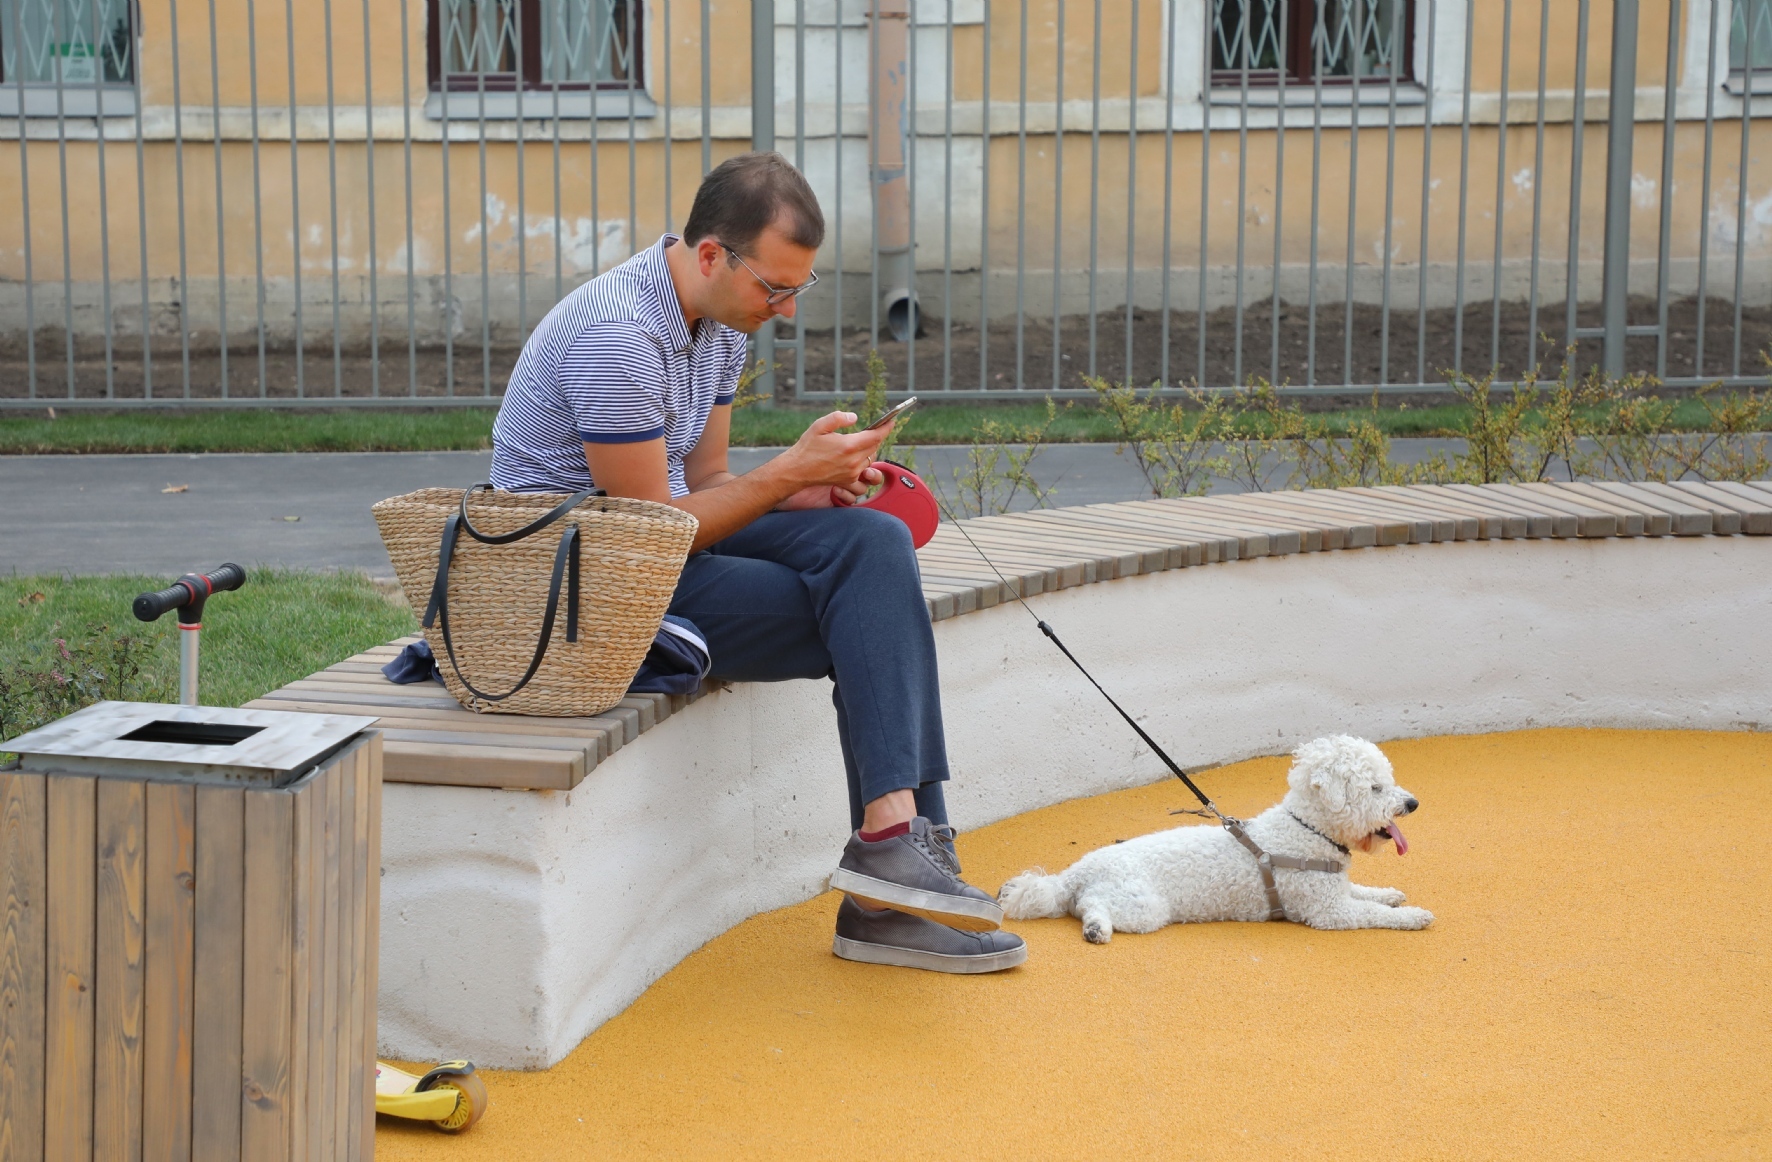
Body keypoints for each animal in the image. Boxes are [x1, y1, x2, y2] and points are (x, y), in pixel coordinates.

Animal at [1006, 740, 1431, 942]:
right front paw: (1412, 916)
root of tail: (1075, 874)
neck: (1306, 830)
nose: (1412, 803)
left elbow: (1367, 894)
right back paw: (1096, 928)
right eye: (1375, 788)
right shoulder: (1329, 911)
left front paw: (1391, 894)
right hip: (1142, 905)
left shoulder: (1336, 890)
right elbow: (1374, 914)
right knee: (1090, 906)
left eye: (1387, 781)